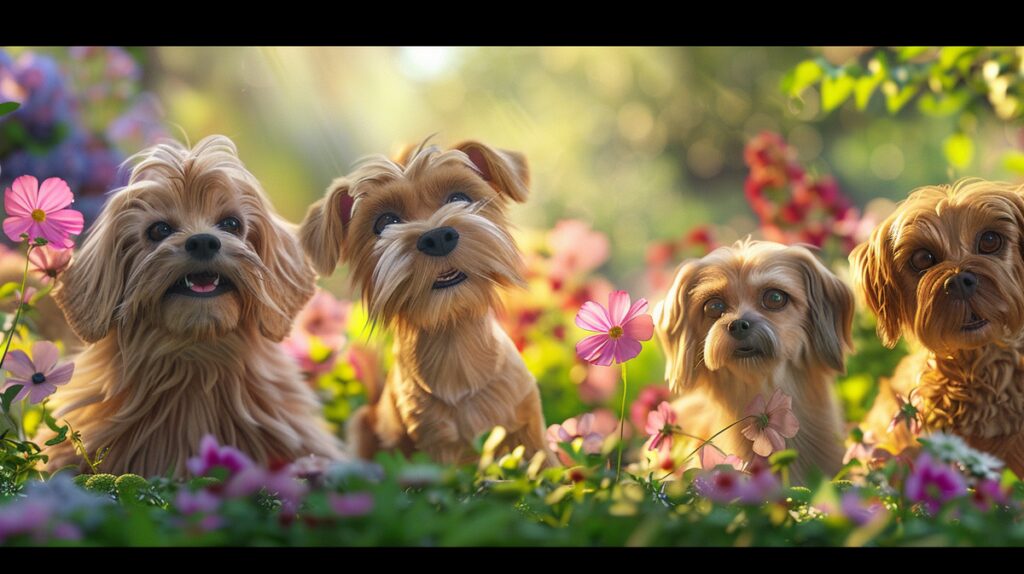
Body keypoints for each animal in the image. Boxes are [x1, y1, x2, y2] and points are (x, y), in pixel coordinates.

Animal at [299, 139, 552, 466]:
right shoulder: (435, 446)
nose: (437, 237)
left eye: (459, 198)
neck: (454, 340)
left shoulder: (528, 425)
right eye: (385, 222)